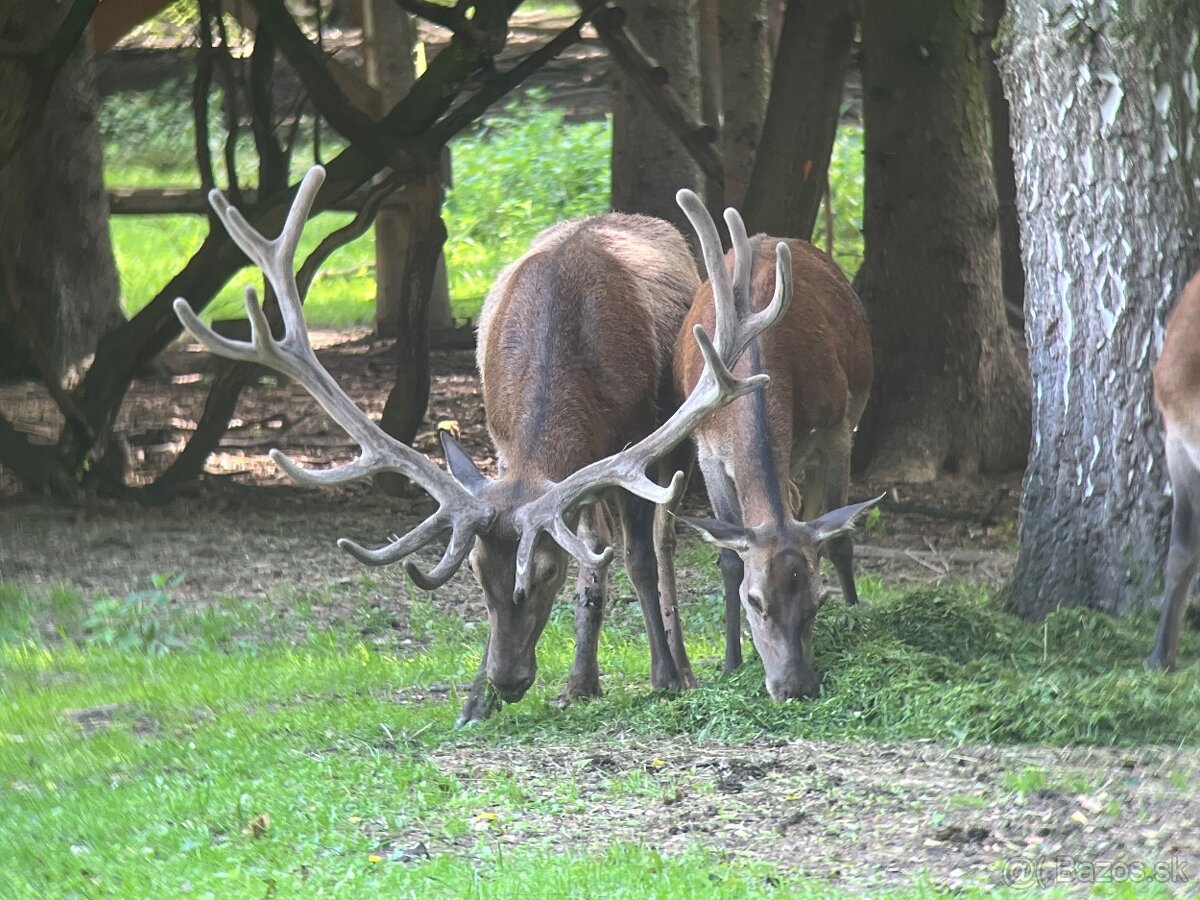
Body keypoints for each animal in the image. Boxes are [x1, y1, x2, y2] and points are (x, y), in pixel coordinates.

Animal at [171, 165, 787, 724]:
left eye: (544, 573)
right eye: (474, 571)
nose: (508, 680)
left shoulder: (637, 439)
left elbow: (635, 556)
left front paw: (664, 677)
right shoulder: (504, 444)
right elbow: (587, 556)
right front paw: (473, 701)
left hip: (675, 443)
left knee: (656, 544)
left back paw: (678, 664)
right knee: (597, 547)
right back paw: (580, 681)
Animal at [672, 199, 878, 705]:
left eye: (817, 600)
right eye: (755, 599)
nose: (795, 687)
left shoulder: (836, 430)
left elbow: (839, 540)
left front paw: (854, 617)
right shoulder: (707, 451)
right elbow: (729, 558)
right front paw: (731, 662)